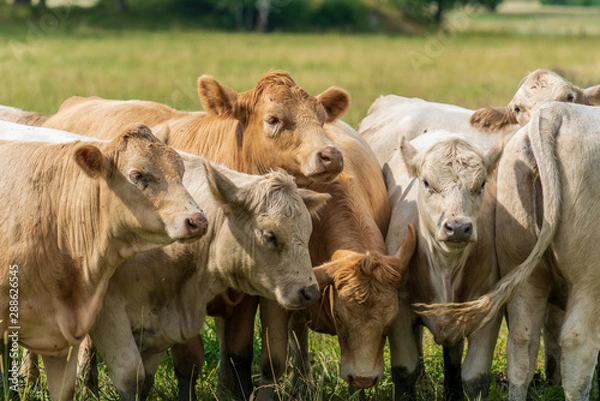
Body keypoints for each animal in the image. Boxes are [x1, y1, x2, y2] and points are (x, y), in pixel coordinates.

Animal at [368, 129, 504, 400]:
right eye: (427, 183)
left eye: (481, 184)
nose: (458, 227)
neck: (446, 267)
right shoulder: (399, 309)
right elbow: (405, 371)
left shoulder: (488, 310)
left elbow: (476, 377)